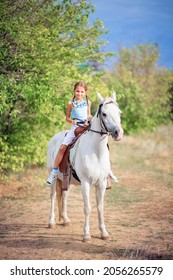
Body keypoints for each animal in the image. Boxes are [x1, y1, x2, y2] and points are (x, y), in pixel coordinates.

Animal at [46, 93, 122, 242]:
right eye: (104, 114)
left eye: (119, 113)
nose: (118, 133)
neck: (96, 152)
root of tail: (54, 138)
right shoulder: (86, 183)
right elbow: (87, 208)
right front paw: (86, 235)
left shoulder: (101, 184)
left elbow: (100, 207)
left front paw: (104, 233)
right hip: (54, 178)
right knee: (53, 196)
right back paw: (51, 222)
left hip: (67, 181)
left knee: (64, 196)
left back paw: (66, 220)